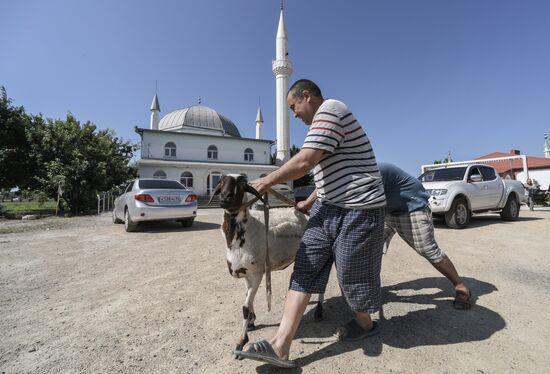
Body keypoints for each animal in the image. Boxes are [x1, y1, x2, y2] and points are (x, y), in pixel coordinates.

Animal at [210, 174, 324, 352]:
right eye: (221, 181)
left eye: (242, 183)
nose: (225, 197)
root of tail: (308, 213)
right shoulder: (246, 274)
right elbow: (247, 300)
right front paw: (251, 322)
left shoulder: (257, 273)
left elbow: (245, 308)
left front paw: (241, 341)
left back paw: (319, 311)